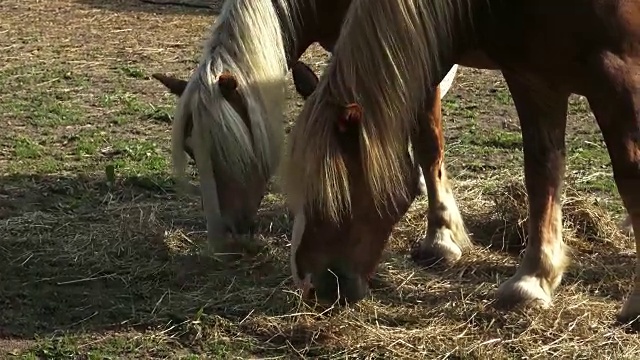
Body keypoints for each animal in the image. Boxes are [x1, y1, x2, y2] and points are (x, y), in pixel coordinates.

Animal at [284, 0, 640, 324]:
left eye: (333, 193)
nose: (310, 285)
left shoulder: (619, 74)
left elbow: (630, 178)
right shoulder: (533, 78)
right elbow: (542, 170)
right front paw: (533, 280)